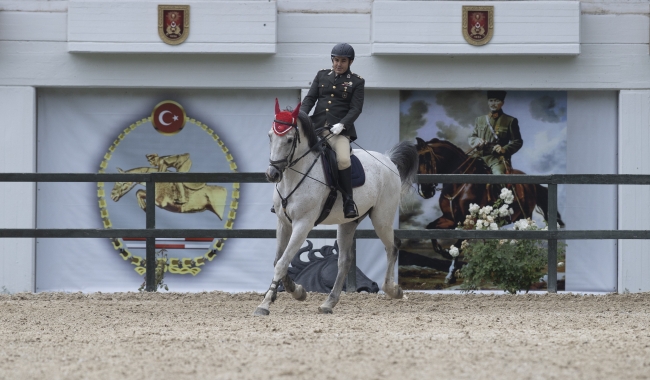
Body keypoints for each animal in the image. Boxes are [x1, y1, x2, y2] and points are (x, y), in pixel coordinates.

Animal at [253, 99, 416, 316]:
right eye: (270, 136)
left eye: (289, 140)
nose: (272, 174)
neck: (294, 176)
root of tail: (387, 159)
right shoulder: (283, 223)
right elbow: (279, 260)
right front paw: (297, 291)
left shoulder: (303, 224)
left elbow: (281, 263)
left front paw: (265, 304)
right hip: (348, 222)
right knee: (345, 261)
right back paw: (329, 303)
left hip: (382, 219)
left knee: (393, 247)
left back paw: (393, 290)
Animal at [416, 138, 560, 260]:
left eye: (426, 161)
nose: (424, 191)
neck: (459, 184)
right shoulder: (451, 219)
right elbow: (430, 227)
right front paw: (440, 249)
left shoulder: (471, 221)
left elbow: (461, 240)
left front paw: (450, 253)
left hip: (525, 216)